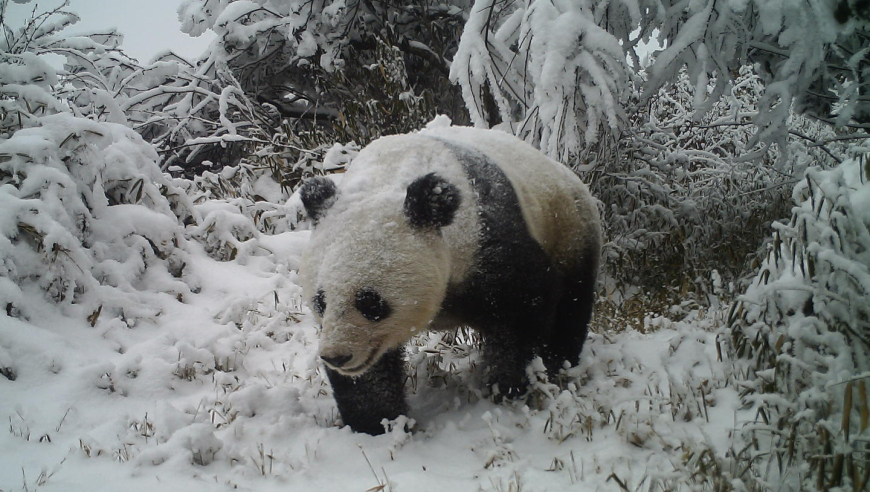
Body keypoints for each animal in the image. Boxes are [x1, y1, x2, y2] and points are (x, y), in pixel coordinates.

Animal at [300, 126, 600, 434]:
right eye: (320, 302)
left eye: (371, 303)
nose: (336, 356)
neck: (388, 176)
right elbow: (370, 375)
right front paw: (377, 424)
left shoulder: (487, 239)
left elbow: (523, 309)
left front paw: (508, 386)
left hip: (569, 228)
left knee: (572, 304)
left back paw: (560, 364)